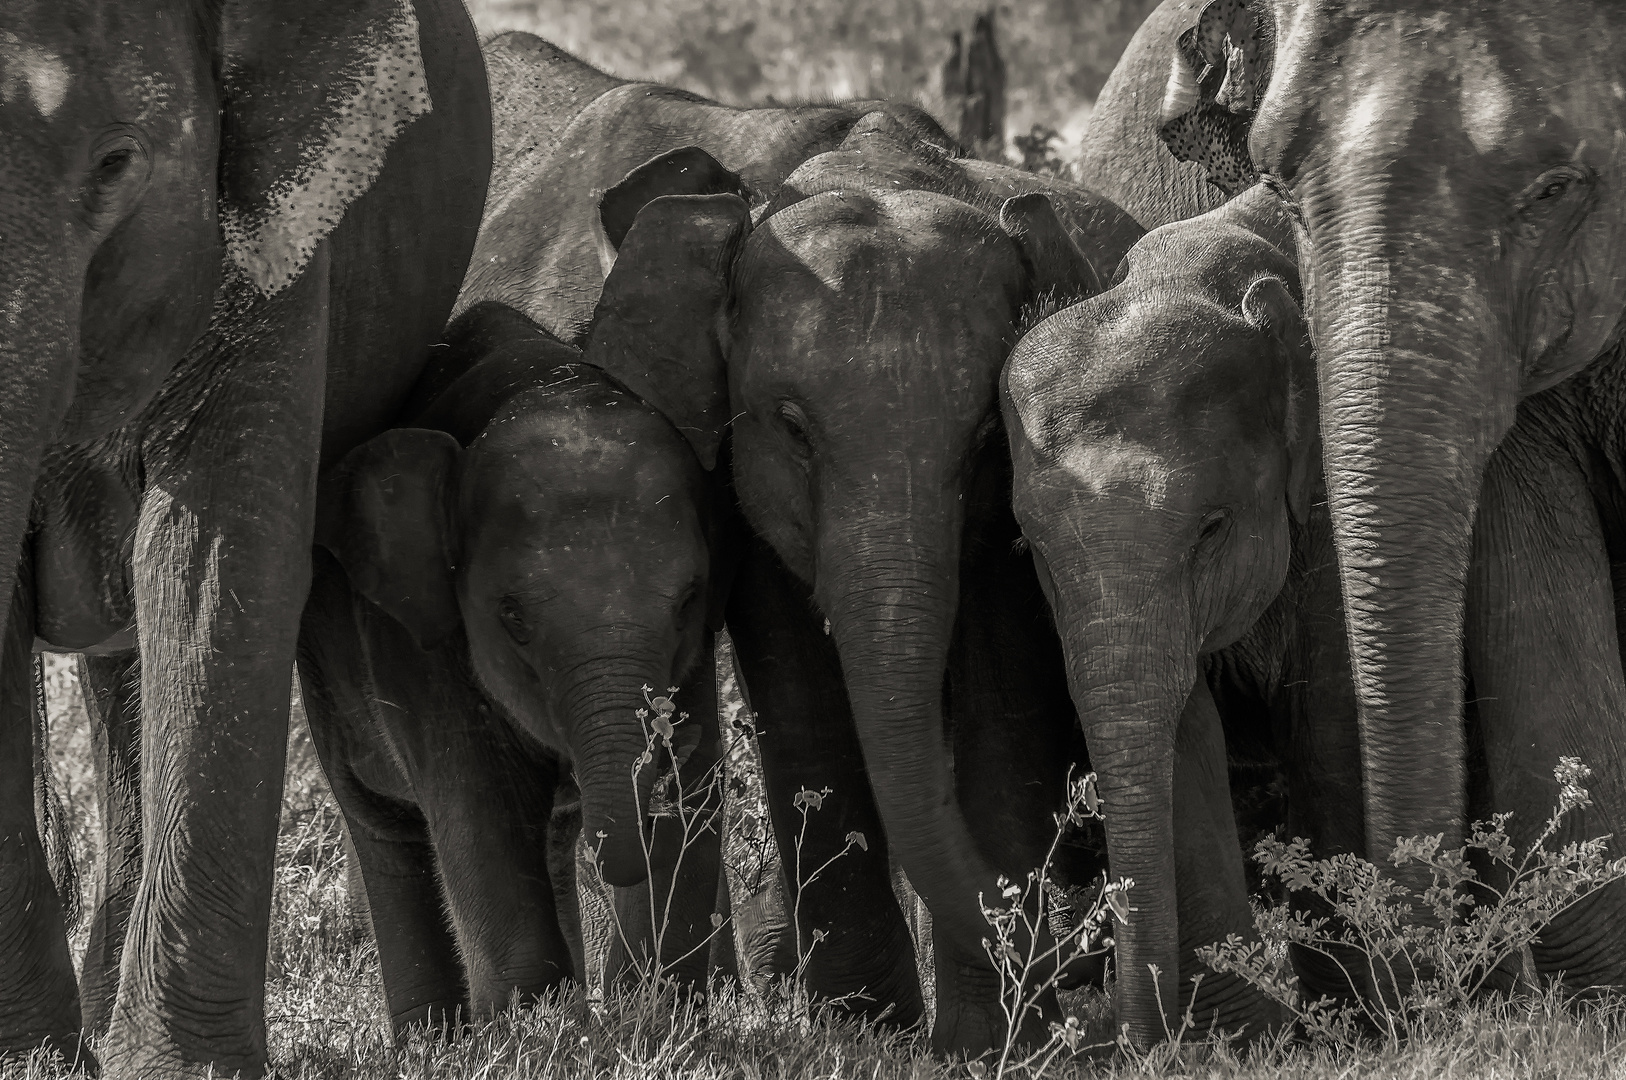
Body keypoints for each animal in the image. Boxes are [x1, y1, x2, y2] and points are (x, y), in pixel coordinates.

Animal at [305, 183, 747, 1021]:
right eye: (511, 618)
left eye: (689, 600)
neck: (539, 382)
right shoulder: (424, 652)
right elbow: (479, 819)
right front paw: (538, 1027)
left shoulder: (692, 664)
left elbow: (695, 794)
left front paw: (655, 1016)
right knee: (388, 830)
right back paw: (435, 1037)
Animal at [1001, 183, 1359, 1040]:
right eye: (1028, 548)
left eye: (1211, 529)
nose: (1132, 1043)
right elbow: (1185, 722)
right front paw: (1250, 1034)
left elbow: (1331, 713)